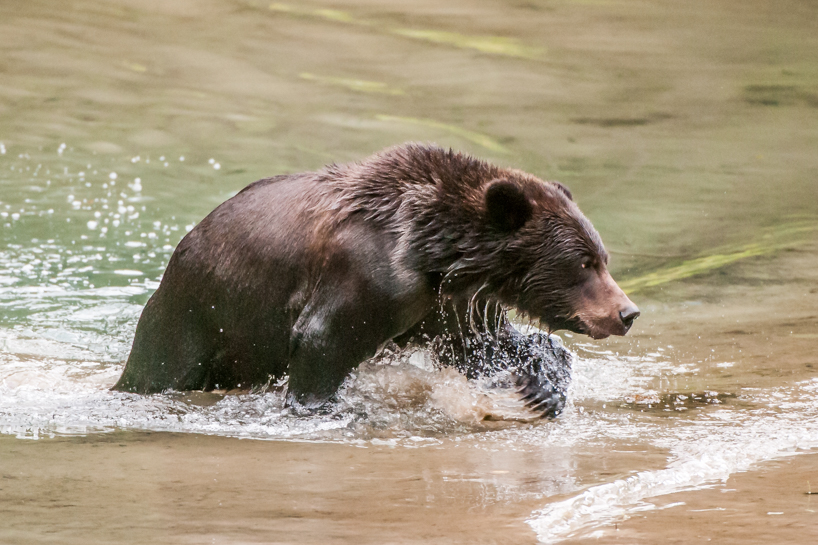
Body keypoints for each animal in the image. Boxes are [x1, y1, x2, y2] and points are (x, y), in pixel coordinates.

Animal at [113, 143, 639, 417]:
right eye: (583, 263)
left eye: (602, 257)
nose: (627, 312)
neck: (433, 252)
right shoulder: (371, 275)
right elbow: (324, 339)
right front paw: (323, 407)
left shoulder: (441, 304)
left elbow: (477, 348)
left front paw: (540, 386)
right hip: (195, 317)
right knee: (161, 367)